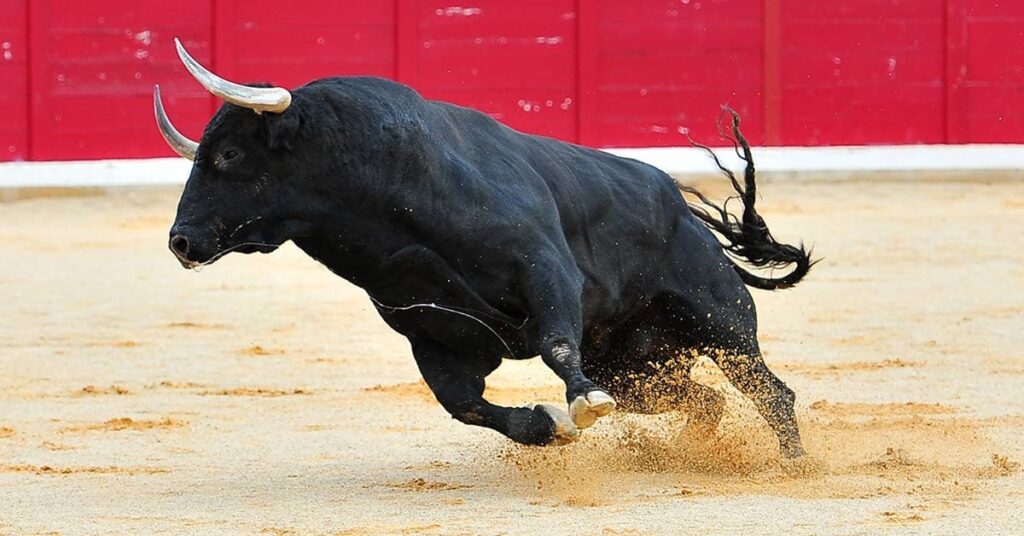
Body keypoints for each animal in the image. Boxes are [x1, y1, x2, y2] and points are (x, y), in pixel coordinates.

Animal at [163, 76, 811, 461]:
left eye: (229, 153)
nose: (181, 241)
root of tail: (680, 205)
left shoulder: (546, 270)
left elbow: (554, 344)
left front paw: (579, 404)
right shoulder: (430, 334)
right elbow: (464, 404)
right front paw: (547, 426)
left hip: (719, 320)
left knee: (770, 389)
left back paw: (795, 464)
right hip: (633, 368)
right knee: (705, 402)